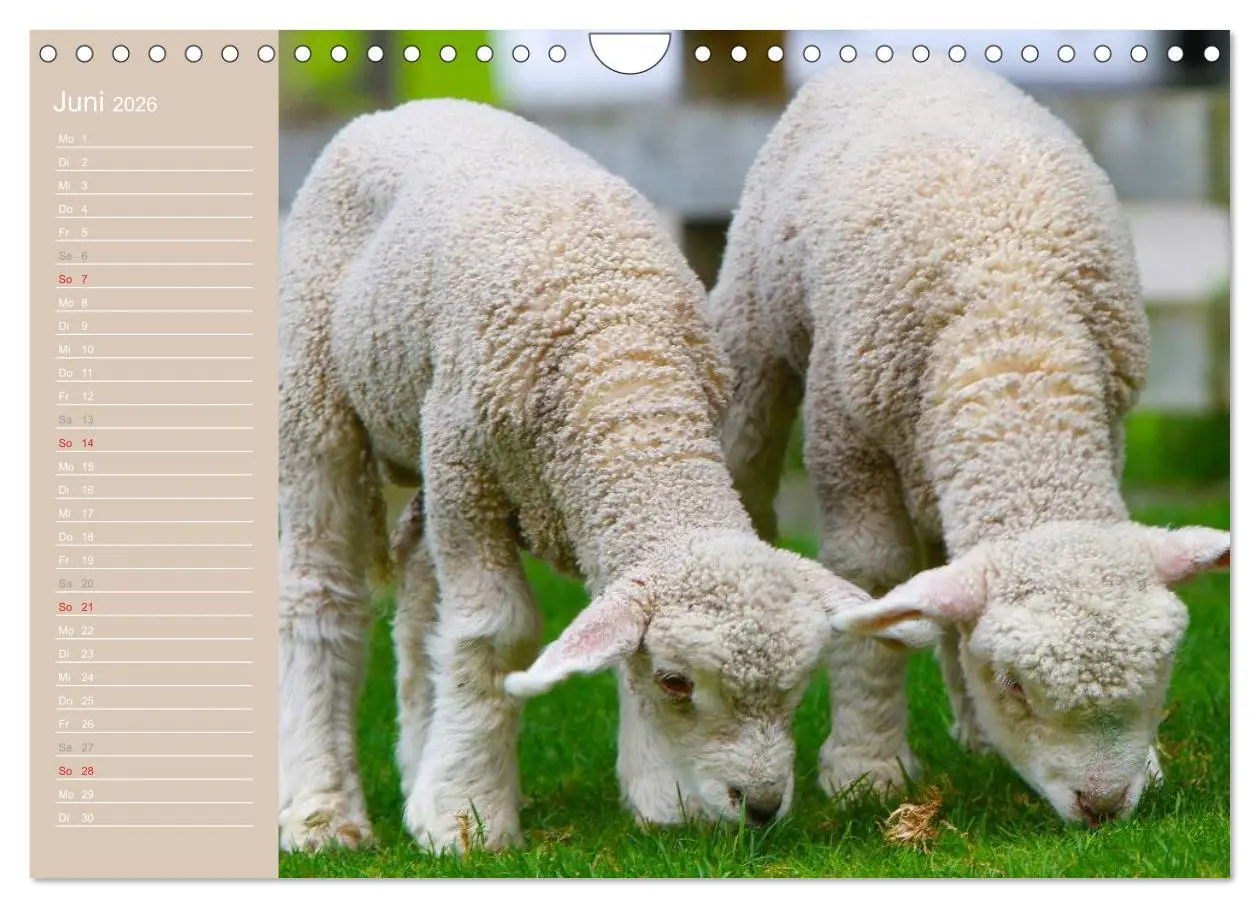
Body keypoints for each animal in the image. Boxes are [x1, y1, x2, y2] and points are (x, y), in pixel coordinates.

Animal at [276, 98, 882, 853]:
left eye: (800, 686)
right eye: (676, 682)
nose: (764, 805)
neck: (620, 361)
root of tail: (400, 110)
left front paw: (658, 798)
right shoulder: (467, 470)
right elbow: (494, 633)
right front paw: (468, 815)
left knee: (419, 608)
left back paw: (419, 772)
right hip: (316, 399)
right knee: (320, 593)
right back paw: (322, 812)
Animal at [705, 58, 1231, 826]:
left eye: (1162, 671)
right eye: (1013, 683)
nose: (1103, 807)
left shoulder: (1107, 427)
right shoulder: (848, 442)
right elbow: (874, 578)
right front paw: (867, 766)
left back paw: (974, 734)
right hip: (757, 324)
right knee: (749, 456)